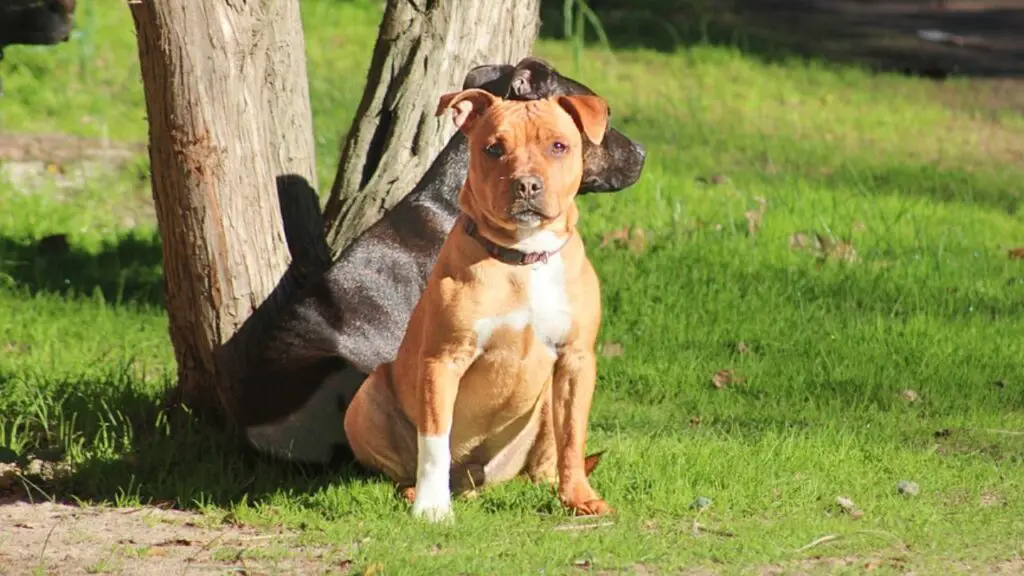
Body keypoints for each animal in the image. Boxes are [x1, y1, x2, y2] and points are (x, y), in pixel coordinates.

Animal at [346, 85, 606, 520]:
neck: (524, 256)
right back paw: (416, 492)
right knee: (406, 466)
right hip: (365, 397)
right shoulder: (444, 359)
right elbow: (435, 440)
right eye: (493, 149)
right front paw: (433, 509)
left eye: (558, 146)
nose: (526, 185)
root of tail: (472, 480)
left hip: (544, 406)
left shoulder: (575, 358)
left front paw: (579, 498)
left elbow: (573, 436)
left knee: (544, 459)